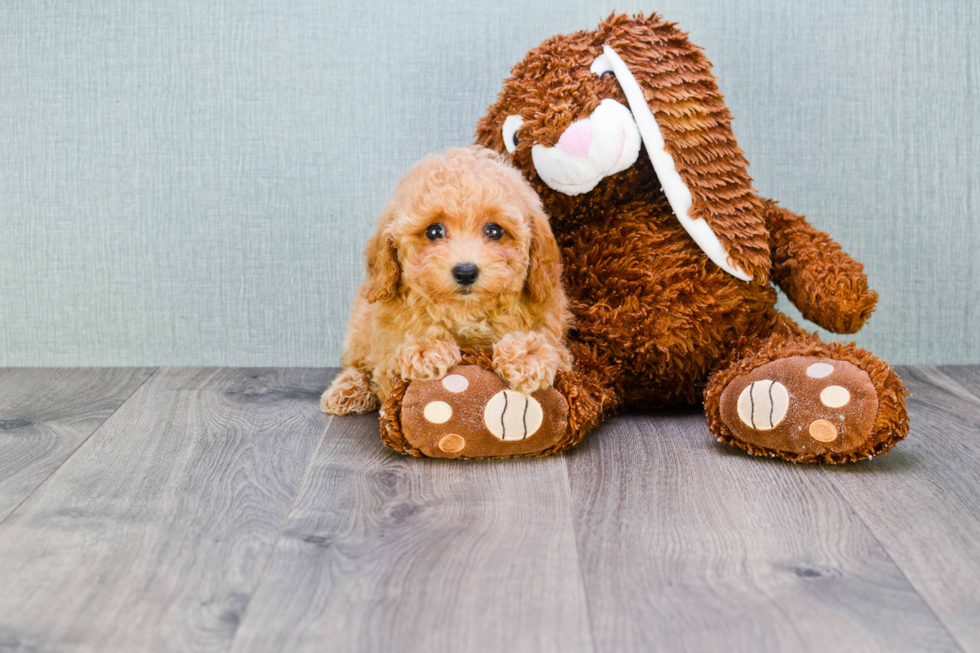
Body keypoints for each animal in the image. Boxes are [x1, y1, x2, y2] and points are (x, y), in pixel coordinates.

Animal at [322, 146, 572, 416]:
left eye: (494, 231)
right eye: (434, 231)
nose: (465, 271)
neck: (466, 313)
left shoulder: (557, 340)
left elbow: (551, 350)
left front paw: (527, 355)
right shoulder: (386, 351)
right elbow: (391, 366)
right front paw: (426, 349)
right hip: (360, 327)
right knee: (356, 363)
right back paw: (348, 390)